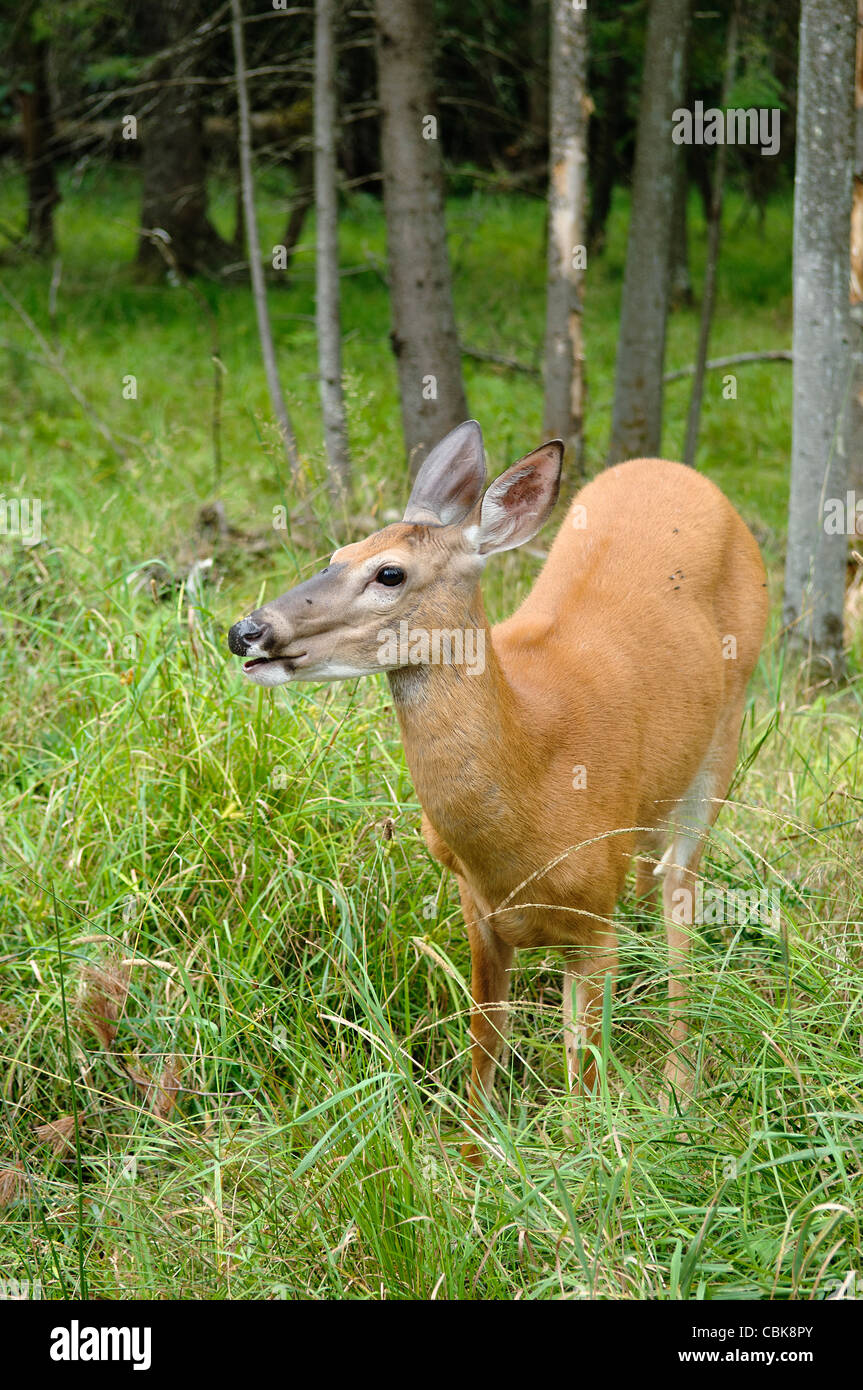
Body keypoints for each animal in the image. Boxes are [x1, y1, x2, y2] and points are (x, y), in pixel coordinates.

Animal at [226, 419, 767, 1162]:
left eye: (388, 572)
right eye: (336, 554)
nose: (246, 630)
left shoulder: (594, 921)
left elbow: (581, 1068)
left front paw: (580, 1155)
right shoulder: (474, 905)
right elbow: (485, 1039)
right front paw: (474, 1155)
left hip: (726, 730)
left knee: (681, 900)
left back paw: (678, 1087)